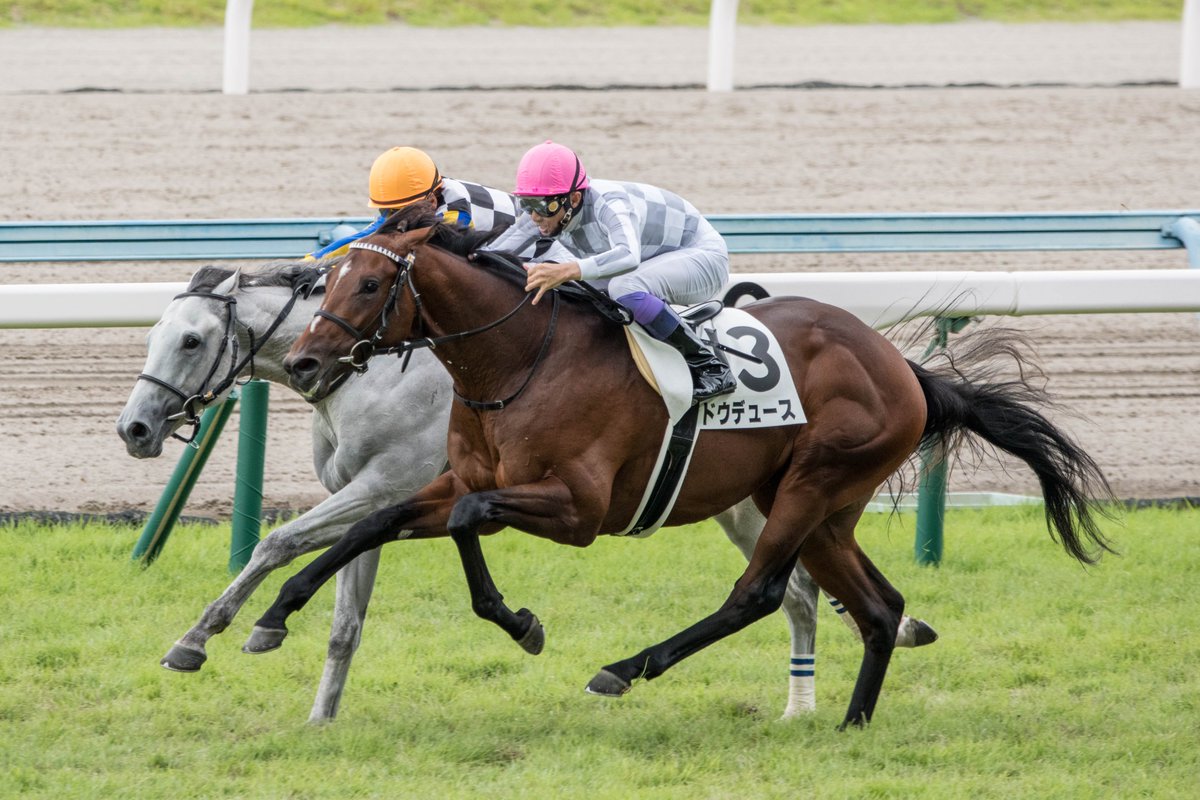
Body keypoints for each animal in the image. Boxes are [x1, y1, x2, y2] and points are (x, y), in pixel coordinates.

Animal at [115, 260, 935, 723]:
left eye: (191, 339)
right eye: (152, 334)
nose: (135, 428)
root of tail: (893, 362)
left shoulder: (389, 484)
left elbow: (280, 540)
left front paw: (200, 637)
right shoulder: (388, 492)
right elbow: (346, 611)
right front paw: (320, 709)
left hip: (779, 495)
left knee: (779, 592)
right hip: (764, 500)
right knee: (806, 591)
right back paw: (843, 677)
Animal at [262, 208, 1114, 729]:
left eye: (371, 283)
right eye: (326, 280)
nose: (304, 361)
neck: (518, 360)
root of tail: (903, 367)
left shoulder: (576, 509)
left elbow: (469, 525)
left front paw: (522, 623)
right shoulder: (460, 480)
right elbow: (377, 521)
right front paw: (275, 614)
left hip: (811, 484)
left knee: (759, 593)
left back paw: (625, 668)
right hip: (823, 505)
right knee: (878, 605)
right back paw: (852, 721)